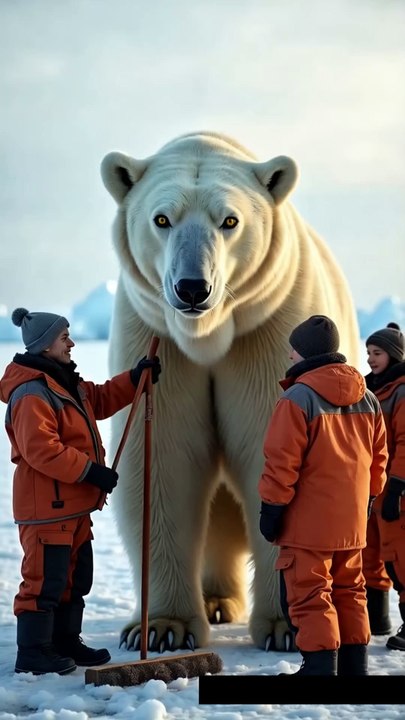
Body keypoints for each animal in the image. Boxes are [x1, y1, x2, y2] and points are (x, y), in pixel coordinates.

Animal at [100, 131, 360, 653]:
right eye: (162, 218)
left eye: (230, 220)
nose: (192, 288)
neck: (209, 335)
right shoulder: (156, 339)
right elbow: (164, 461)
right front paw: (162, 628)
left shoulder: (268, 331)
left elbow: (274, 452)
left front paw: (288, 626)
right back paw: (217, 600)